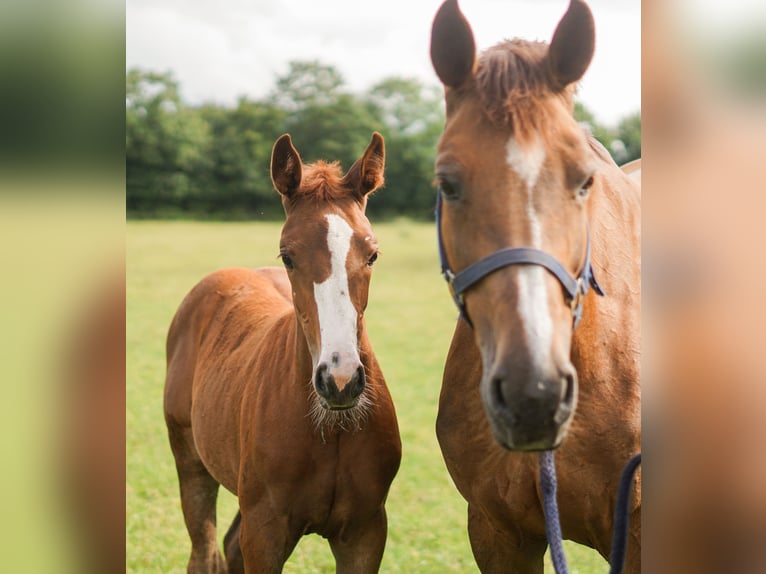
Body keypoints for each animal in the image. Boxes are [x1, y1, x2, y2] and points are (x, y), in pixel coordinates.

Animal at [165, 133, 404, 572]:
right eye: (288, 255)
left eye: (373, 254)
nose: (340, 380)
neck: (330, 428)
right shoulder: (266, 531)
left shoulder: (365, 531)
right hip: (191, 461)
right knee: (204, 553)